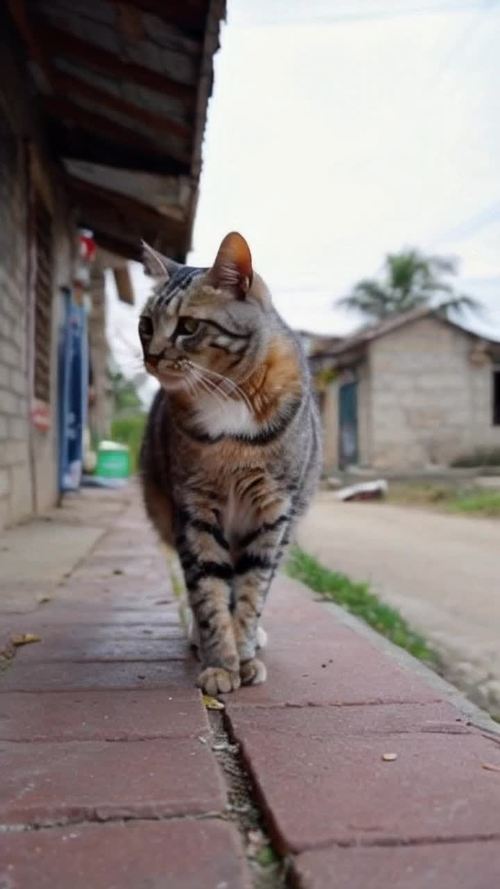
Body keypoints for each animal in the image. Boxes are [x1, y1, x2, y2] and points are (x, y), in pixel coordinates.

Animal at [139, 231, 322, 692]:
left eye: (188, 326)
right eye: (146, 325)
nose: (152, 356)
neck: (225, 393)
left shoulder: (272, 510)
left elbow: (253, 588)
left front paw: (242, 653)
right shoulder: (194, 511)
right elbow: (208, 592)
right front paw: (221, 663)